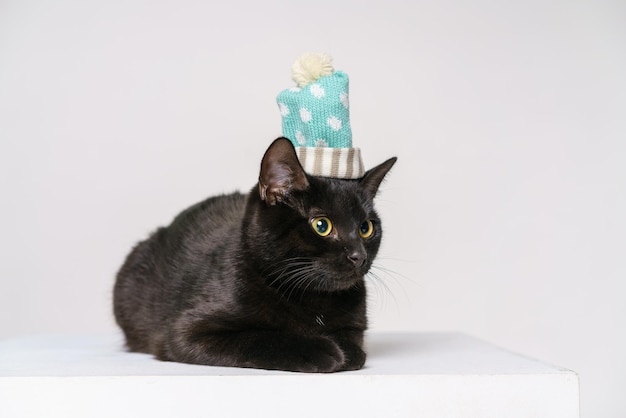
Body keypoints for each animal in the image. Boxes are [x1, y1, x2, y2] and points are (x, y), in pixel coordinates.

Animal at [112, 138, 394, 372]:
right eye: (322, 225)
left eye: (366, 228)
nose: (358, 255)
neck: (311, 299)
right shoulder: (186, 332)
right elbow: (258, 337)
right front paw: (320, 350)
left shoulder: (355, 328)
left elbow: (355, 348)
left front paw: (342, 348)